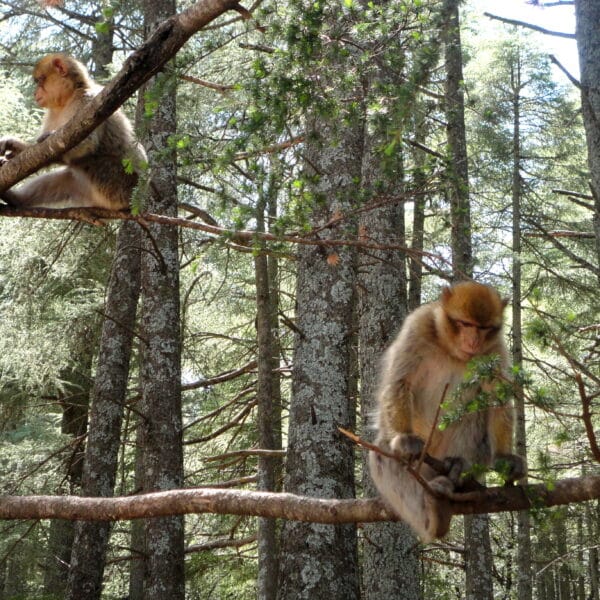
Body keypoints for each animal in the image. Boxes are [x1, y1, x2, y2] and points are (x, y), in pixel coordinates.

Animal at [0, 52, 146, 211]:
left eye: (40, 80)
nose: (35, 93)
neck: (67, 100)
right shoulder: (52, 114)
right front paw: (14, 146)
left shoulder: (86, 100)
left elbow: (86, 143)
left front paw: (47, 138)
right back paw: (17, 200)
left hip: (119, 184)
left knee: (88, 161)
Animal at [368, 282, 524, 544]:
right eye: (465, 324)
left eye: (483, 328)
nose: (473, 341)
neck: (451, 349)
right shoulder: (417, 327)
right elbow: (401, 382)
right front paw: (405, 439)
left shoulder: (494, 349)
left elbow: (496, 399)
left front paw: (505, 458)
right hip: (422, 468)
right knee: (384, 451)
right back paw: (433, 515)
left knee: (474, 415)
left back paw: (457, 470)